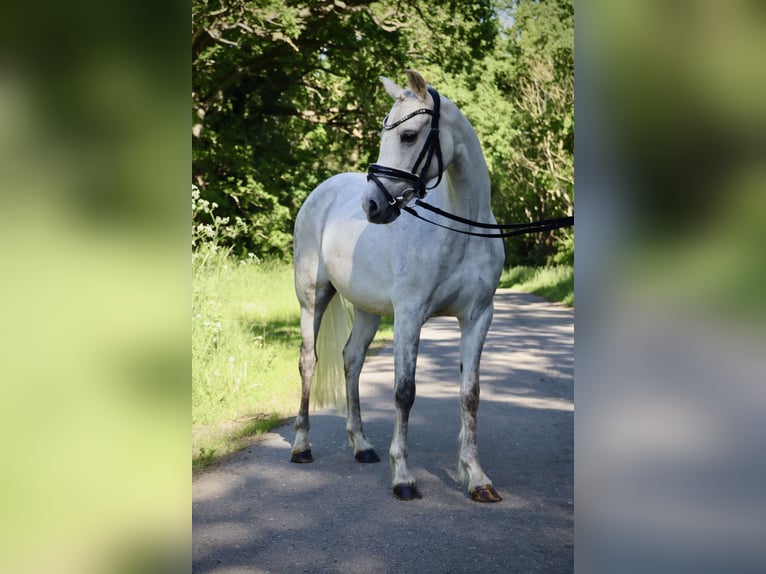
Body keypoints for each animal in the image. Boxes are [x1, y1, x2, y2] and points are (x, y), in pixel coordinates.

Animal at [290, 70, 505, 502]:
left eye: (408, 136)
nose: (372, 205)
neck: (463, 230)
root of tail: (322, 192)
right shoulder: (410, 315)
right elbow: (404, 391)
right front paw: (403, 477)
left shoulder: (478, 317)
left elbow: (470, 394)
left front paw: (476, 478)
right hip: (312, 299)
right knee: (308, 362)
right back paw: (302, 447)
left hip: (367, 310)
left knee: (352, 359)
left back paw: (362, 446)